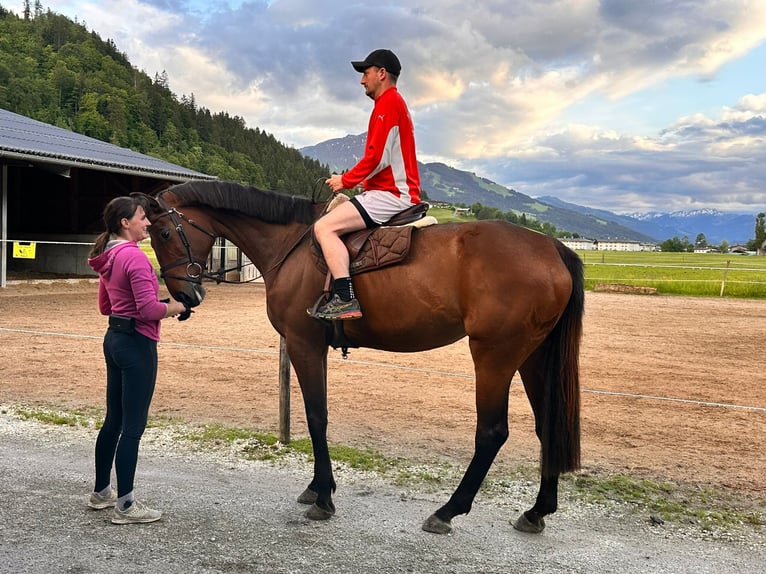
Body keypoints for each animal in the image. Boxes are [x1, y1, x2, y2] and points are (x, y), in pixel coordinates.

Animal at [139, 180, 584, 535]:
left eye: (163, 231)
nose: (185, 296)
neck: (290, 243)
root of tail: (552, 246)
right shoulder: (311, 348)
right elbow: (318, 416)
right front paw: (318, 488)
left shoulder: (303, 344)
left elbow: (316, 416)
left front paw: (323, 498)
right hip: (531, 356)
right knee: (546, 426)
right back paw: (537, 511)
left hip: (494, 356)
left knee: (492, 432)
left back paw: (448, 511)